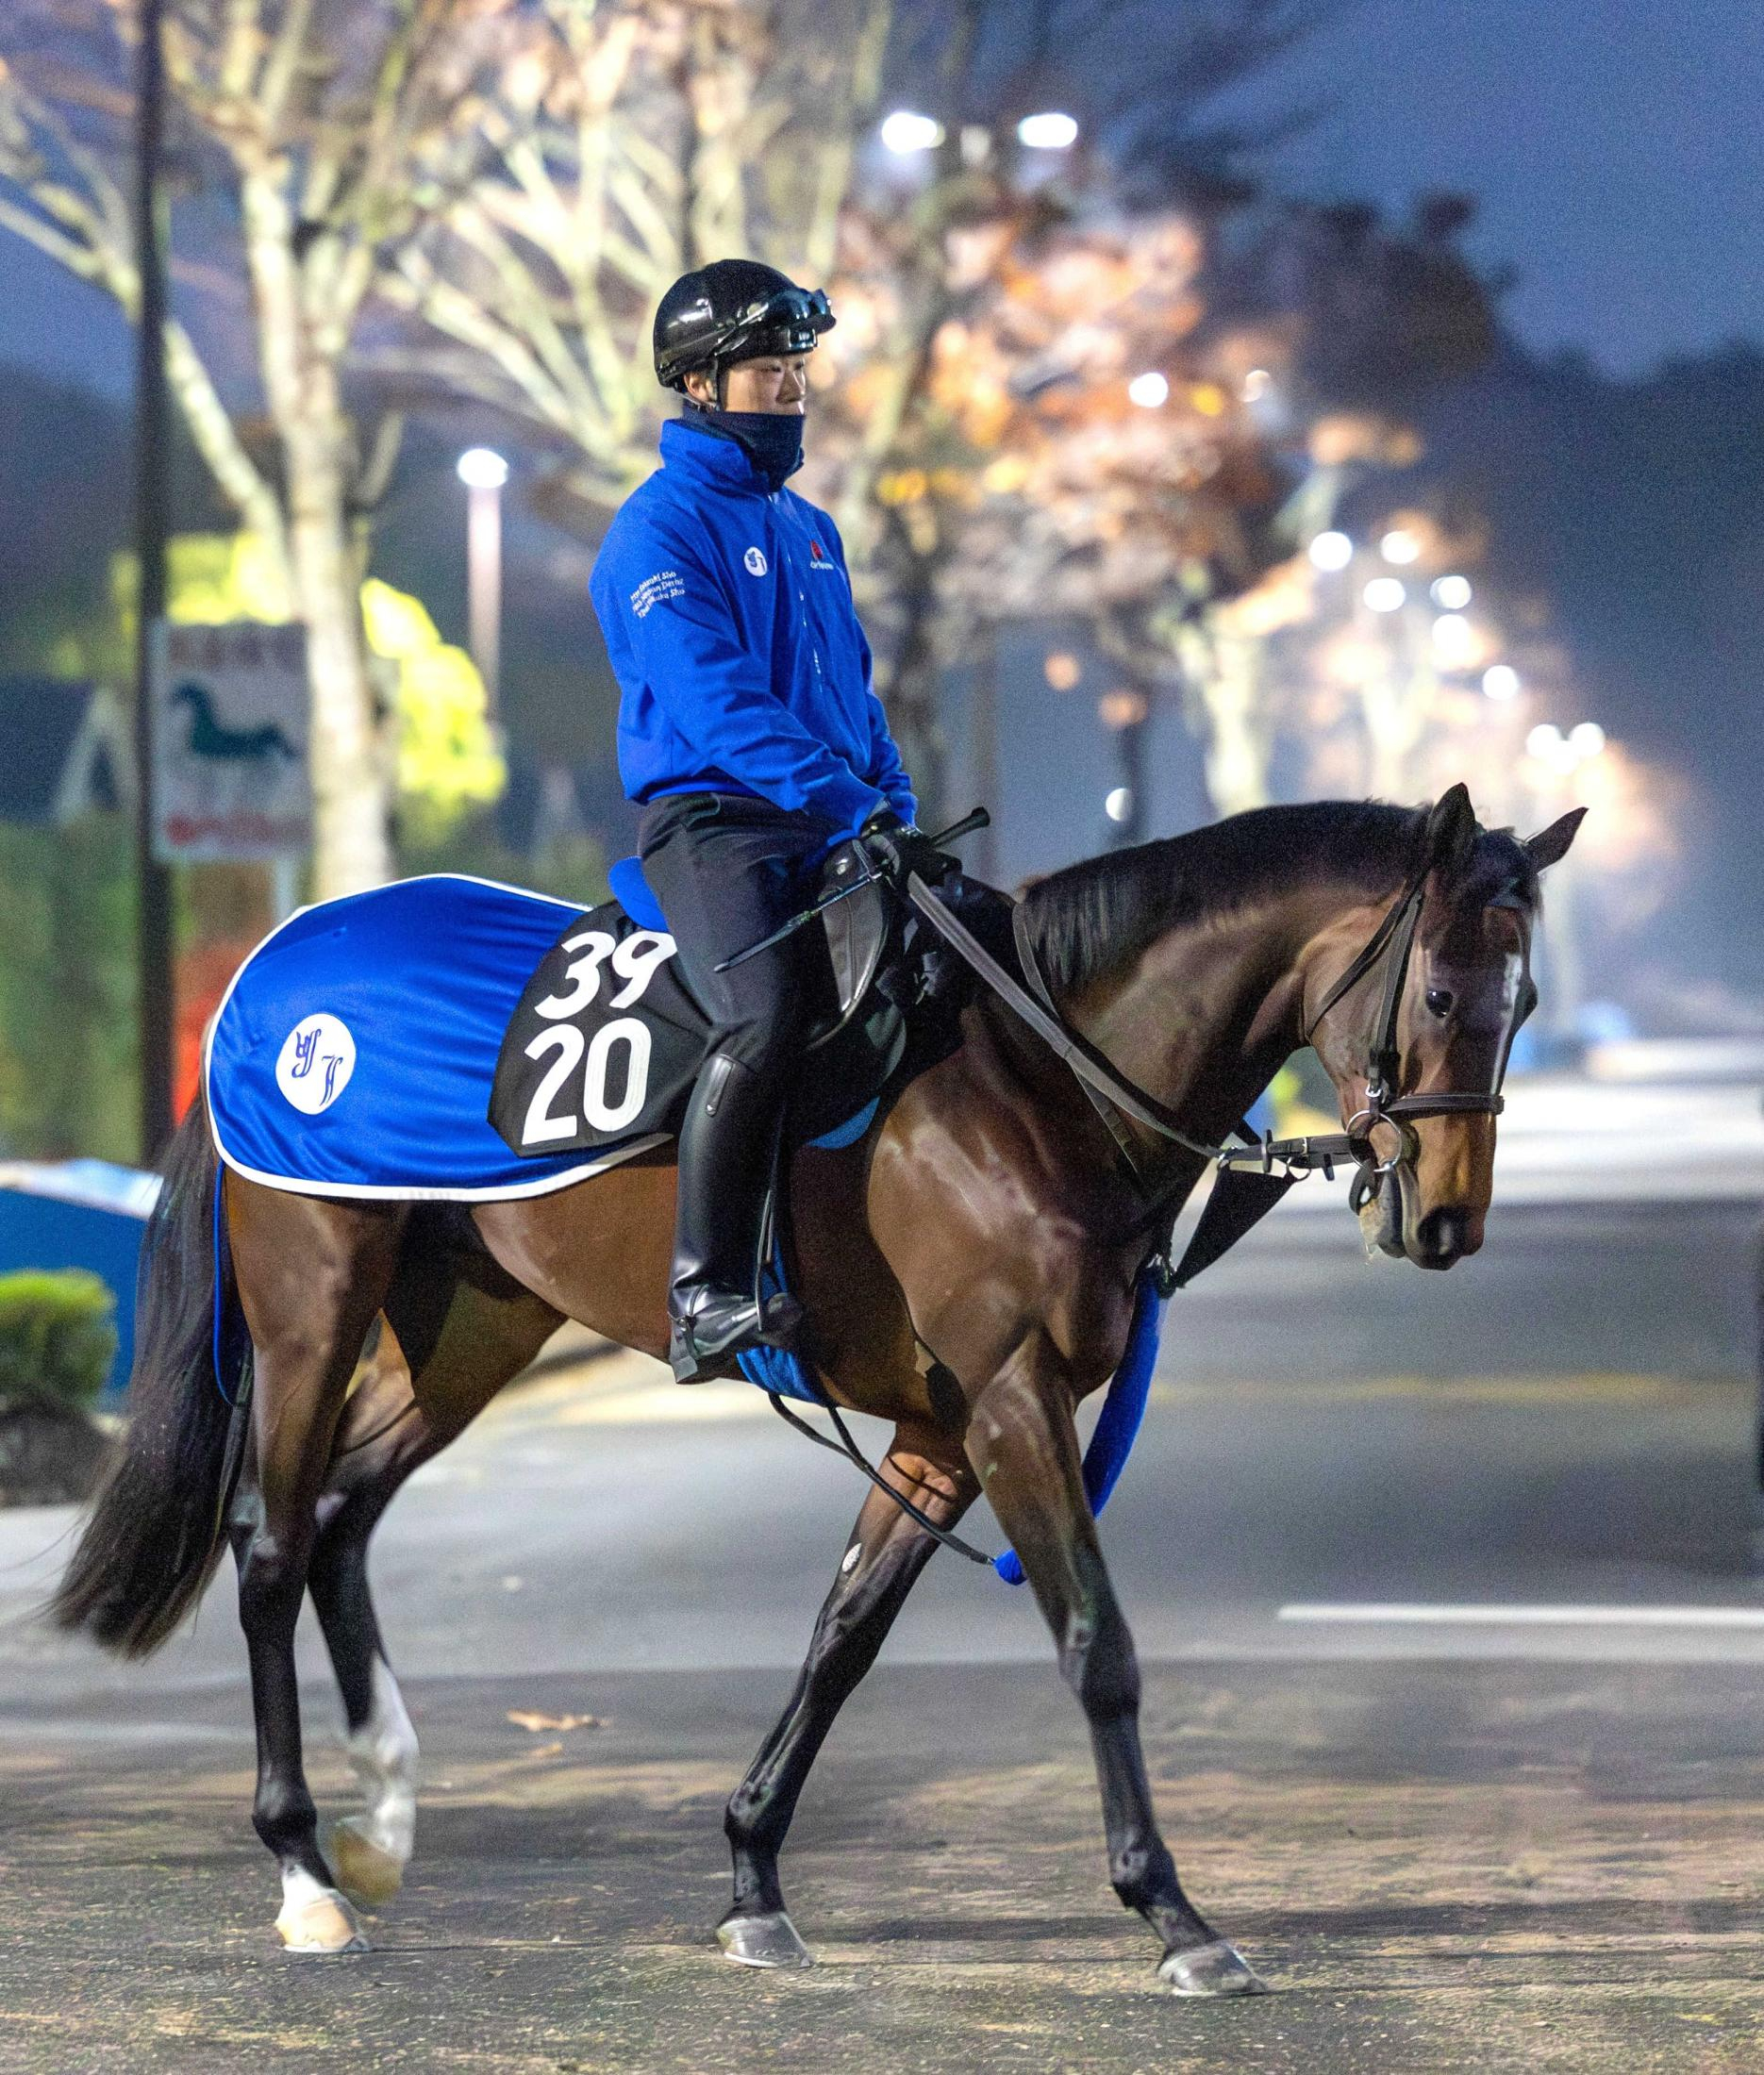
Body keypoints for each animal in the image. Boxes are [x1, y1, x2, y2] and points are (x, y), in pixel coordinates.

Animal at [50, 785, 1581, 1994]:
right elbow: (1096, 1642)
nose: (1446, 1219)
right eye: (1441, 994)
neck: (1033, 1073)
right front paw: (1172, 1913)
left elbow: (843, 1640)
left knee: (345, 1518)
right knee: (270, 1542)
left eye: (1524, 1003)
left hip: (473, 1320)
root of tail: (271, 966)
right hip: (312, 1299)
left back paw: (381, 1815)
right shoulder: (1012, 1400)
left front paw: (751, 1878)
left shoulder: (939, 1428)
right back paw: (305, 1870)